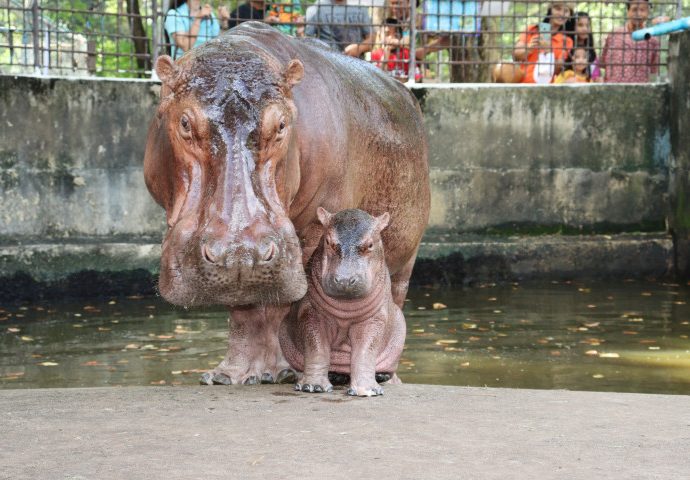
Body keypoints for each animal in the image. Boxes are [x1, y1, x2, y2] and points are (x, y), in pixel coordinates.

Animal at [278, 207, 406, 398]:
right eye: (328, 241)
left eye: (370, 245)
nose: (345, 279)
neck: (346, 311)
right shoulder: (312, 314)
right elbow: (317, 349)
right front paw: (312, 386)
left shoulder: (373, 320)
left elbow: (365, 352)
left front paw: (366, 390)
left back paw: (379, 376)